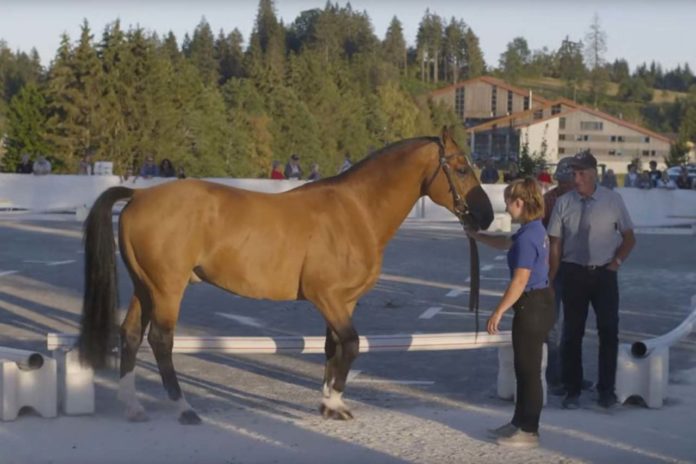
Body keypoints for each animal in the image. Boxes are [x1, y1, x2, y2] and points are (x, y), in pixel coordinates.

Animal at [78, 127, 494, 424]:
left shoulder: (343, 300)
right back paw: (184, 409)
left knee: (131, 335)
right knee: (160, 341)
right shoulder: (326, 296)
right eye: (460, 169)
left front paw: (329, 404)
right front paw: (334, 402)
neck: (355, 211)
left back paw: (133, 406)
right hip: (167, 288)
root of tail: (138, 196)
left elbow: (332, 347)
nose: (486, 216)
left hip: (145, 287)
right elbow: (352, 345)